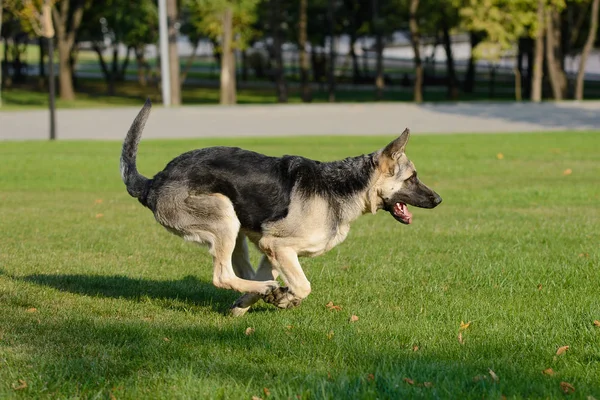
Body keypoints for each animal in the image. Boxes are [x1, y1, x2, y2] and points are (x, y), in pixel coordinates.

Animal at [120, 99, 440, 316]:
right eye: (412, 178)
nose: (438, 200)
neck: (343, 185)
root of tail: (154, 181)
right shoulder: (277, 246)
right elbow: (303, 286)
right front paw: (285, 298)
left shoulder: (269, 251)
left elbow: (279, 278)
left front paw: (255, 302)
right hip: (224, 217)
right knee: (222, 276)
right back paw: (265, 290)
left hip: (237, 229)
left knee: (241, 274)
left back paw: (258, 293)